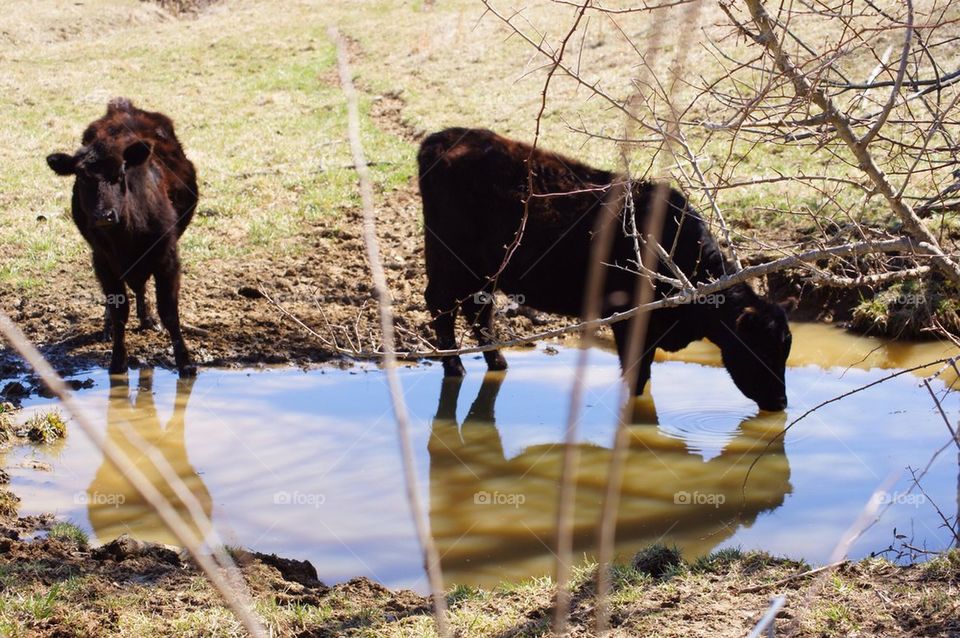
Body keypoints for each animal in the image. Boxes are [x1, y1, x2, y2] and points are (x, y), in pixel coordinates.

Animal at [47, 97, 197, 378]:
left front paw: (186, 363)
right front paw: (118, 362)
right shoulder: (103, 261)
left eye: (120, 174)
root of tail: (121, 107)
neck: (125, 237)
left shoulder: (167, 257)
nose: (104, 216)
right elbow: (118, 311)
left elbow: (169, 311)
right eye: (81, 177)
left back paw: (148, 321)